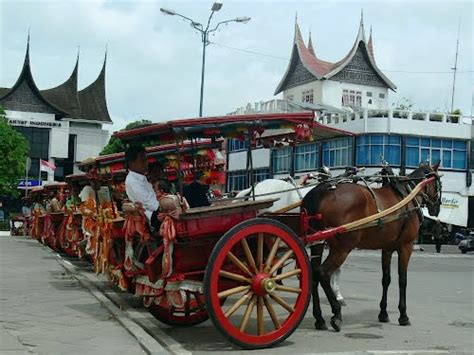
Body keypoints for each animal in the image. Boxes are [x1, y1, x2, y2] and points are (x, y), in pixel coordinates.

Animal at [302, 163, 442, 332]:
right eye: (439, 183)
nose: (437, 209)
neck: (408, 195)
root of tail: (320, 191)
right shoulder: (406, 246)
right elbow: (403, 280)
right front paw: (403, 315)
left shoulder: (387, 248)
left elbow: (386, 279)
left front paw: (383, 313)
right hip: (342, 247)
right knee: (323, 273)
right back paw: (336, 314)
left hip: (318, 243)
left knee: (314, 274)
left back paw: (319, 319)